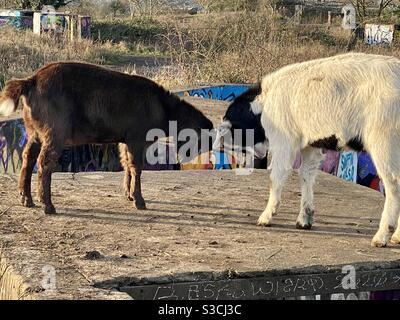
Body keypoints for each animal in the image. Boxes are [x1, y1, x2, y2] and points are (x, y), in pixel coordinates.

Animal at [0, 61, 214, 214]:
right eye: (202, 140)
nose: (185, 159)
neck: (163, 107)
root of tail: (32, 80)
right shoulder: (137, 138)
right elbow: (136, 167)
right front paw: (139, 200)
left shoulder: (125, 140)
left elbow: (126, 163)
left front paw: (128, 194)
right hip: (55, 131)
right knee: (44, 162)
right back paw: (47, 205)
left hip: (34, 131)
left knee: (28, 157)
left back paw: (26, 199)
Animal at [219, 52, 400, 248]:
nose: (240, 164)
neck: (264, 102)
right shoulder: (311, 144)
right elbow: (306, 174)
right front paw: (304, 219)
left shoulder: (284, 140)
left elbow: (276, 176)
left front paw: (266, 217)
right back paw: (396, 236)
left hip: (384, 140)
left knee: (392, 183)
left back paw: (381, 237)